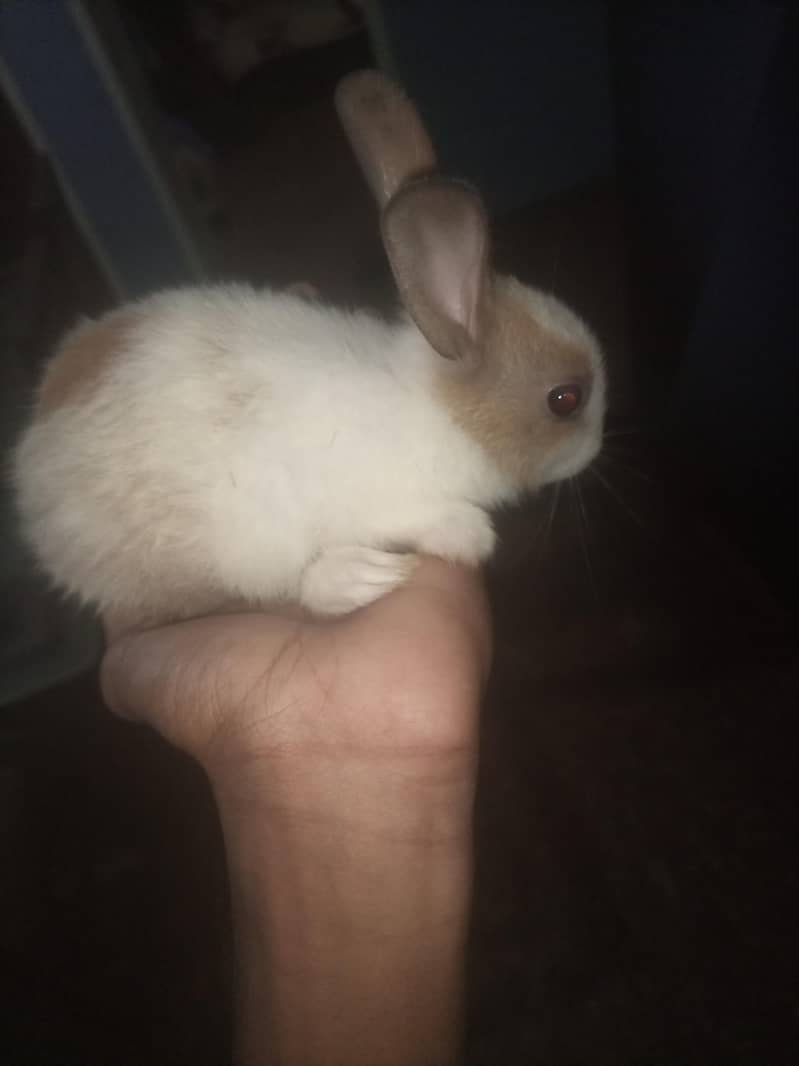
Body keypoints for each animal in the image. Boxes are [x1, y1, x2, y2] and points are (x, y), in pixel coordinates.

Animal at [12, 69, 606, 630]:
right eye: (565, 399)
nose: (595, 449)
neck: (443, 411)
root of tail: (33, 474)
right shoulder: (383, 500)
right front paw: (470, 537)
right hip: (239, 550)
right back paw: (360, 577)